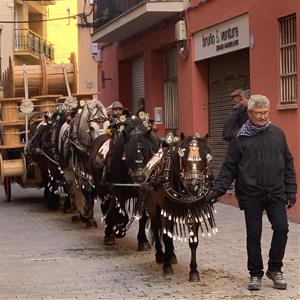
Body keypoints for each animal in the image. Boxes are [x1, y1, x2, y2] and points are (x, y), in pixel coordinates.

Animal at [142, 134, 217, 282]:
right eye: (184, 158)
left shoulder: (194, 212)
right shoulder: (165, 211)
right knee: (157, 228)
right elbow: (166, 237)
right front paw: (166, 267)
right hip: (153, 208)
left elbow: (194, 241)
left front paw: (194, 271)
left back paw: (171, 255)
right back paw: (160, 255)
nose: (194, 187)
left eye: (206, 157)